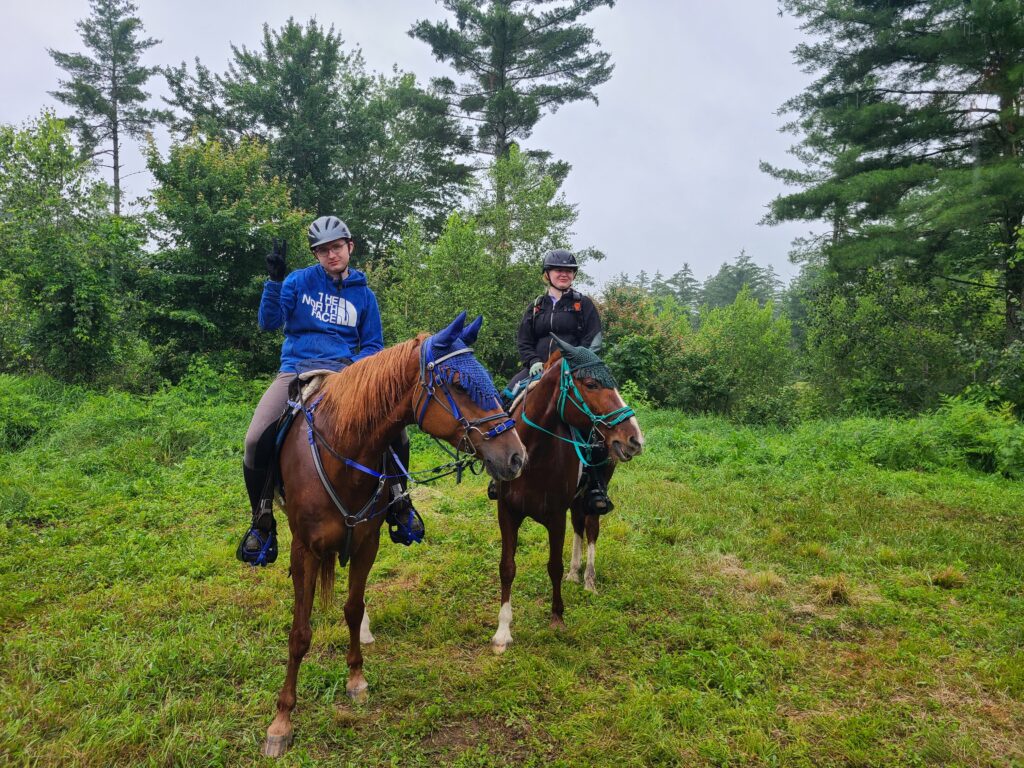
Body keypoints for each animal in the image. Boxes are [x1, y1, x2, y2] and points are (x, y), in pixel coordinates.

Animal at [264, 313, 524, 757]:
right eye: (459, 385)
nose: (516, 456)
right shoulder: (305, 550)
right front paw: (282, 720)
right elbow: (299, 633)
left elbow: (353, 609)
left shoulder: (367, 543)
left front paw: (356, 679)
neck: (344, 450)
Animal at [491, 337, 643, 655]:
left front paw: (557, 618)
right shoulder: (507, 512)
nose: (635, 438)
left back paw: (588, 580)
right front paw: (502, 632)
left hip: (594, 497)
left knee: (591, 529)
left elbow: (554, 566)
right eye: (591, 384)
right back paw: (576, 572)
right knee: (579, 527)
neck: (532, 454)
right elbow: (507, 567)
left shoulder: (555, 517)